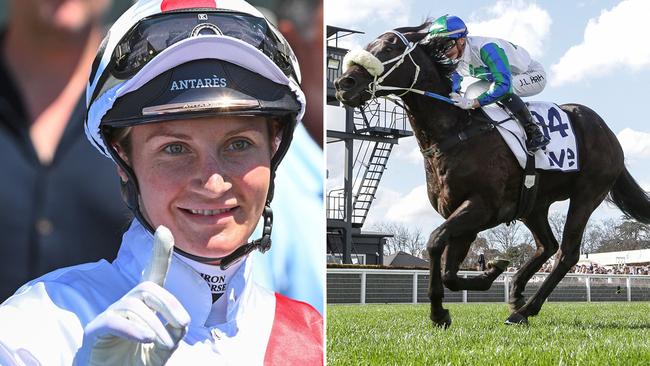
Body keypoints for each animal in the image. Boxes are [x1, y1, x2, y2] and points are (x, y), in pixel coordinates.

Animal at [332, 21, 648, 328]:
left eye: (389, 47)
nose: (343, 83)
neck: (456, 132)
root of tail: (606, 131)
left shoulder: (482, 207)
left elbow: (434, 241)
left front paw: (442, 309)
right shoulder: (462, 215)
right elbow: (448, 270)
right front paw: (484, 278)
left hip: (587, 193)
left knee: (566, 253)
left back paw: (524, 311)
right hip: (534, 205)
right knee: (547, 246)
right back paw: (517, 294)